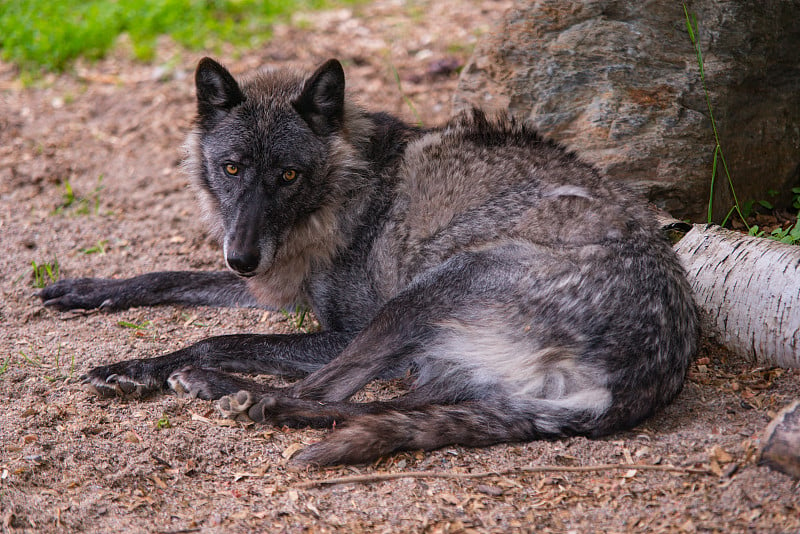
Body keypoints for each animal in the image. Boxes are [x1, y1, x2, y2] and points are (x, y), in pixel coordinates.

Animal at [40, 58, 696, 466]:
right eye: (231, 168)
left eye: (288, 175)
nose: (243, 257)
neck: (346, 189)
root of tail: (641, 377)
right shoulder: (268, 282)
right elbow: (167, 276)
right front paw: (85, 289)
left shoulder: (340, 328)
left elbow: (220, 338)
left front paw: (142, 367)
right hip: (441, 368)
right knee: (383, 404)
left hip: (423, 297)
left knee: (325, 391)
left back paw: (233, 393)